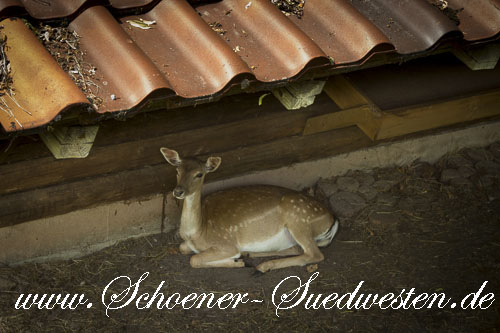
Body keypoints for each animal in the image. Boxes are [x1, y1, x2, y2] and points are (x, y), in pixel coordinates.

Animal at [161, 147, 340, 272]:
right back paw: (251, 254)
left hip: (298, 219)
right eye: (177, 170)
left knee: (314, 254)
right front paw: (239, 259)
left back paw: (263, 266)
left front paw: (237, 261)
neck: (197, 232)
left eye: (199, 174)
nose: (178, 191)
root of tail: (333, 218)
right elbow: (182, 248)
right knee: (298, 248)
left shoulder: (226, 243)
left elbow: (195, 259)